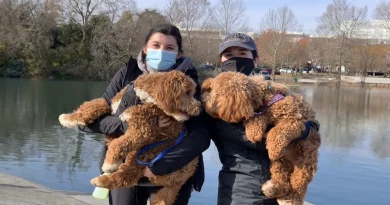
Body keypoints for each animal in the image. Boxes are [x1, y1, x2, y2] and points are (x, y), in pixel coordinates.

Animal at [58, 70, 201, 205]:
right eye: (187, 92)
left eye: (193, 92)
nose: (199, 107)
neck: (140, 98)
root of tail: (179, 182)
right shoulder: (112, 106)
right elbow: (94, 104)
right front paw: (69, 118)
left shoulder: (142, 130)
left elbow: (117, 144)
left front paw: (110, 163)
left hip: (145, 155)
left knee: (126, 177)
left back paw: (101, 180)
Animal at [201, 71, 320, 205]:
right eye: (210, 89)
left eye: (216, 93)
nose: (202, 99)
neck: (265, 99)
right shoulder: (263, 114)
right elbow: (257, 119)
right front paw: (254, 131)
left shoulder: (295, 120)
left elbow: (276, 131)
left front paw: (273, 150)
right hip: (279, 164)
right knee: (282, 180)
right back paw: (272, 188)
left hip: (304, 166)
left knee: (298, 187)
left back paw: (290, 199)